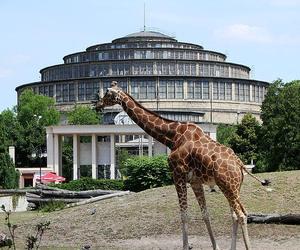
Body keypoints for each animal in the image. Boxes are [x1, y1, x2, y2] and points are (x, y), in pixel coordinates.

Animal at [94, 81, 270, 249]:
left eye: (108, 92)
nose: (97, 104)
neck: (173, 137)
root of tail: (240, 165)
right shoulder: (195, 181)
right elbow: (204, 214)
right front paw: (217, 247)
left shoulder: (177, 175)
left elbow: (184, 214)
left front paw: (186, 246)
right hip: (233, 187)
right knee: (235, 214)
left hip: (228, 185)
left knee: (241, 214)